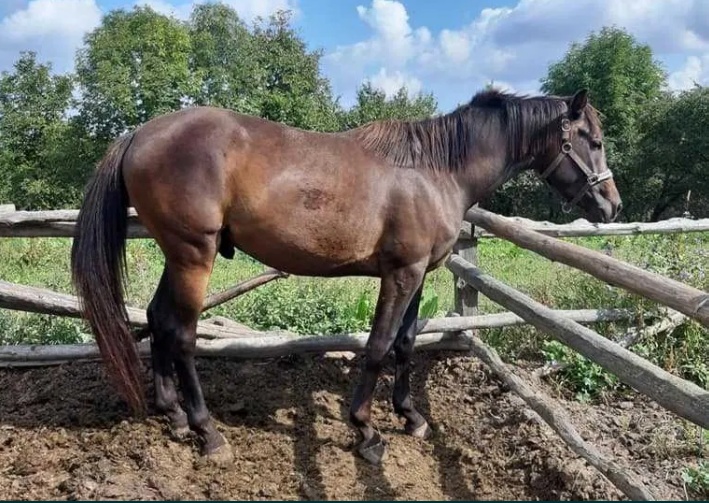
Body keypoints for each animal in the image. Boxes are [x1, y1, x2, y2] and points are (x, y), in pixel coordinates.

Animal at [68, 88, 620, 466]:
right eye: (592, 141)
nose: (611, 205)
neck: (434, 169)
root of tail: (140, 134)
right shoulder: (400, 274)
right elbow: (376, 347)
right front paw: (366, 430)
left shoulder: (419, 275)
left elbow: (405, 344)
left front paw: (410, 416)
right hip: (193, 255)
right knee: (182, 334)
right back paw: (207, 431)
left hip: (177, 255)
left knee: (159, 320)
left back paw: (174, 415)